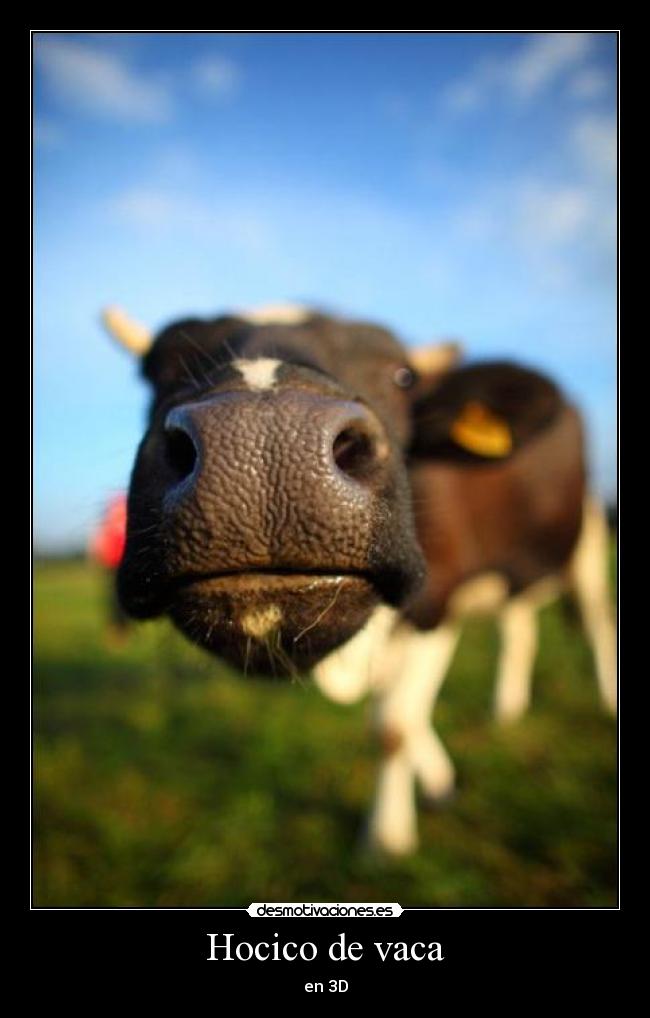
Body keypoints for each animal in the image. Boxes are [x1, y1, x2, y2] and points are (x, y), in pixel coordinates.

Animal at [102, 303, 617, 855]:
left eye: (403, 376)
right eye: (157, 370)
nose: (265, 434)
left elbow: (393, 726)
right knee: (519, 627)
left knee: (596, 622)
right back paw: (507, 710)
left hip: (588, 534)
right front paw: (439, 783)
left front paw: (386, 840)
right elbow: (401, 716)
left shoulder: (434, 604)